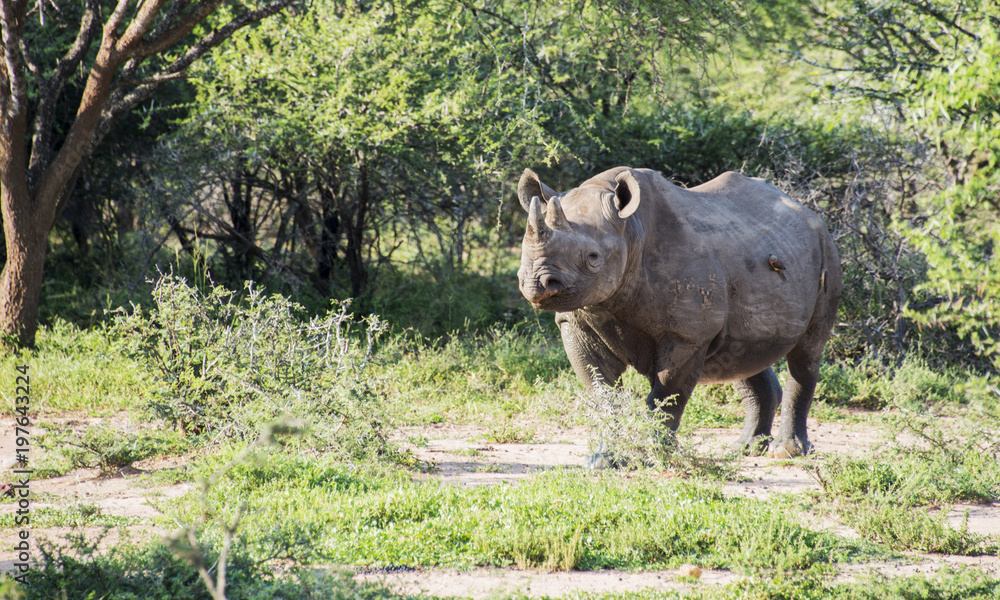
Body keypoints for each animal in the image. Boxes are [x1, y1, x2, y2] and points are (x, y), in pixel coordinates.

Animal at [517, 167, 842, 459]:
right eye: (523, 249)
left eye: (593, 258)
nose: (537, 282)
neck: (629, 230)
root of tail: (808, 212)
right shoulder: (576, 321)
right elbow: (603, 392)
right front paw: (605, 459)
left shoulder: (687, 333)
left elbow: (667, 393)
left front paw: (657, 457)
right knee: (740, 353)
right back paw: (745, 449)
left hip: (826, 249)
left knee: (806, 353)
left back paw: (788, 452)